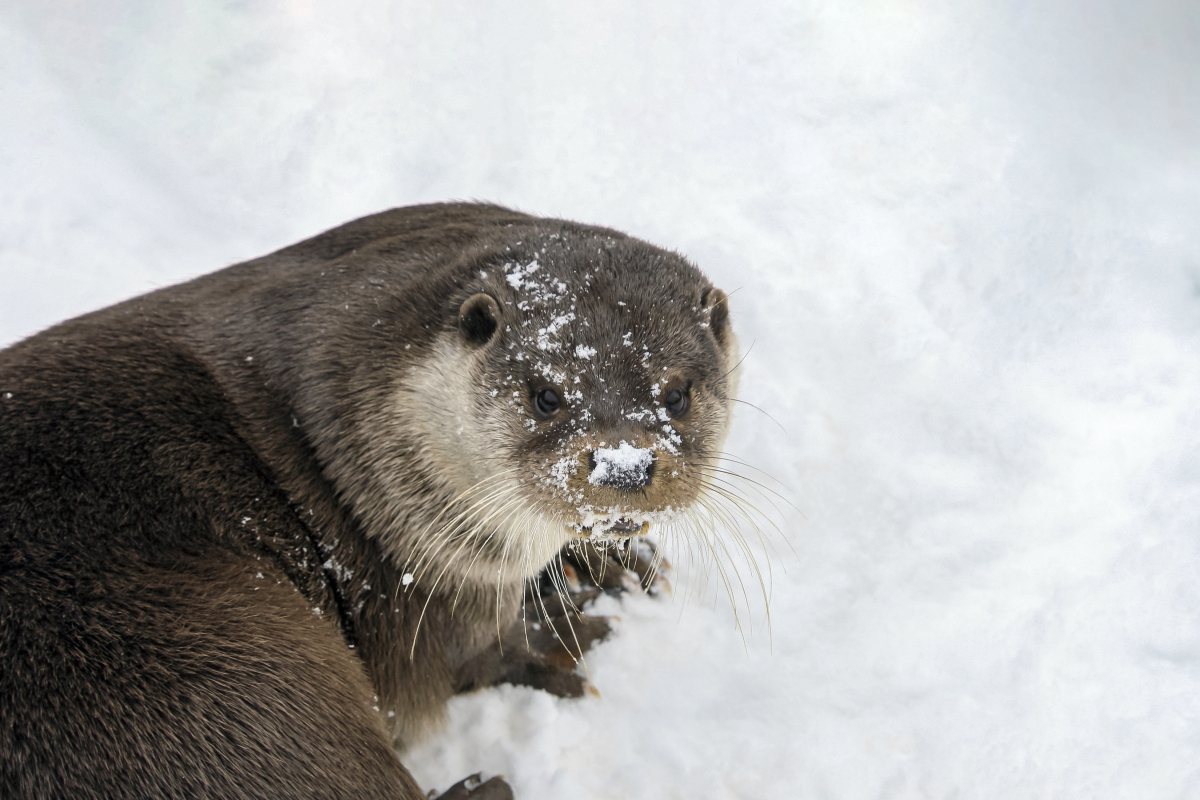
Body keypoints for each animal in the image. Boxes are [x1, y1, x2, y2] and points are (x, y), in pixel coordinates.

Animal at [0, 203, 734, 796]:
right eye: (546, 395)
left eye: (676, 393)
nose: (624, 465)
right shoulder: (432, 579)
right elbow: (473, 654)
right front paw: (566, 629)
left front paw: (606, 564)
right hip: (239, 683)